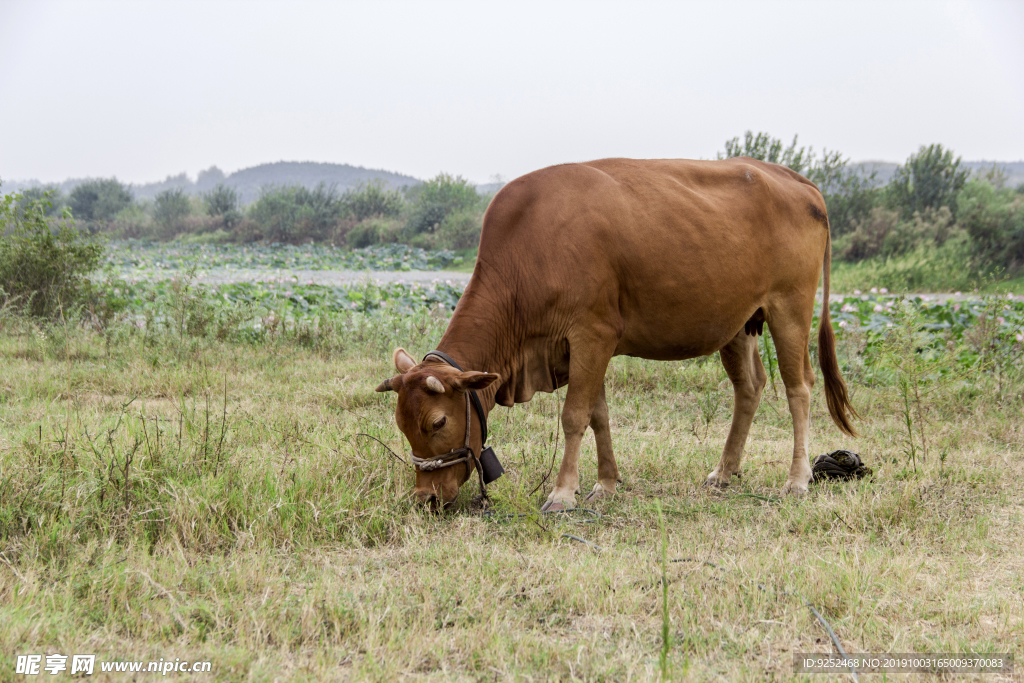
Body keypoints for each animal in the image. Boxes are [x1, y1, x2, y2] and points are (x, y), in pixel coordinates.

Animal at [376, 156, 856, 507]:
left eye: (438, 421)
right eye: (402, 425)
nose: (425, 497)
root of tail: (794, 178)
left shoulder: (593, 333)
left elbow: (574, 416)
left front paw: (562, 493)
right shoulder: (580, 347)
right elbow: (597, 415)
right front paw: (605, 483)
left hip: (790, 307)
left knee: (799, 388)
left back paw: (797, 479)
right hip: (738, 322)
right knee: (751, 387)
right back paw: (724, 471)